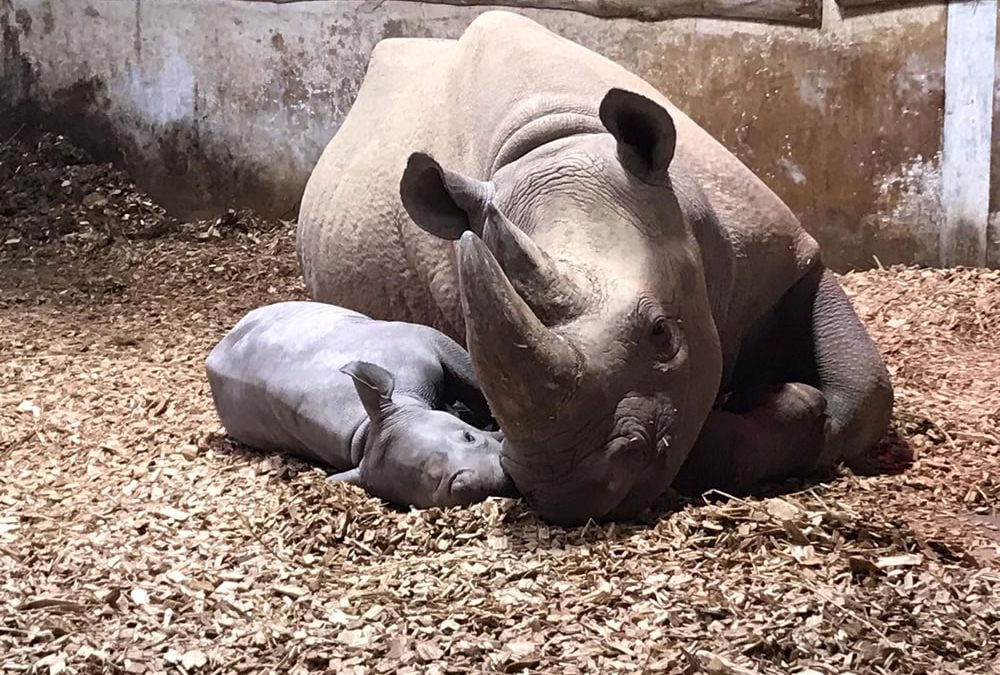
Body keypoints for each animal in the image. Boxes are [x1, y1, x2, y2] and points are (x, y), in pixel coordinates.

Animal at [296, 11, 893, 525]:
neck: (554, 143)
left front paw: (796, 401)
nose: (567, 489)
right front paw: (790, 403)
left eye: (663, 334)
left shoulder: (786, 256)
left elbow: (865, 394)